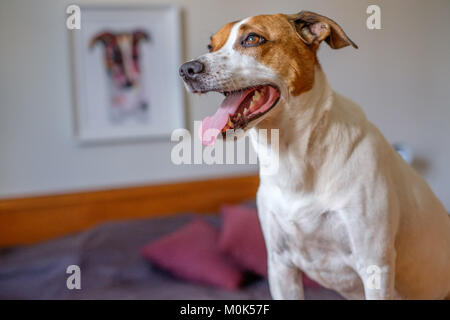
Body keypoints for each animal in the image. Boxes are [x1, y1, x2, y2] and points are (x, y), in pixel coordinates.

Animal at [179, 10, 450, 300]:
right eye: (211, 46)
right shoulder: (281, 266)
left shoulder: (375, 265)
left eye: (252, 39)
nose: (186, 69)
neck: (292, 156)